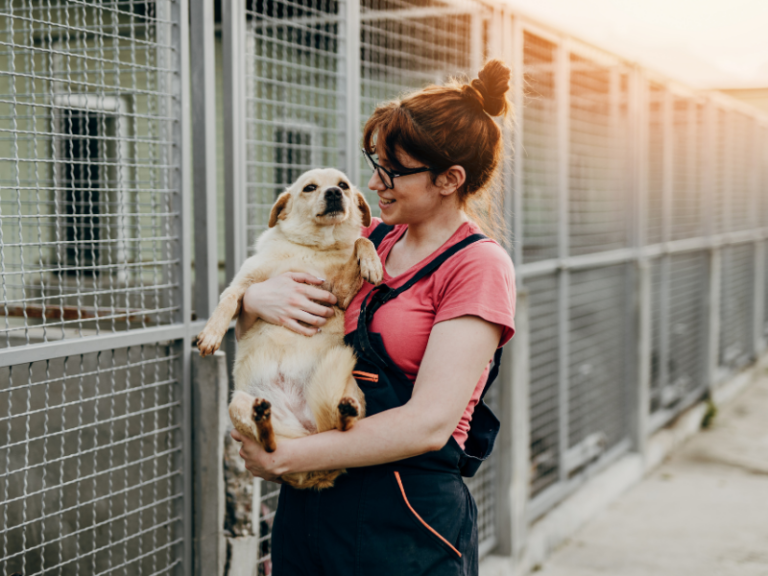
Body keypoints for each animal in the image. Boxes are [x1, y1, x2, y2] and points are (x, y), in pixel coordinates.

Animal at [195, 169, 380, 488]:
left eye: (343, 185)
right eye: (310, 188)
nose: (334, 193)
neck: (312, 248)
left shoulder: (340, 294)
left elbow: (360, 241)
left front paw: (373, 263)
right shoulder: (245, 283)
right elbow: (227, 300)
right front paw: (211, 334)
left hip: (350, 391)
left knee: (341, 429)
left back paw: (343, 413)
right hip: (237, 404)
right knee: (270, 446)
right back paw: (263, 421)